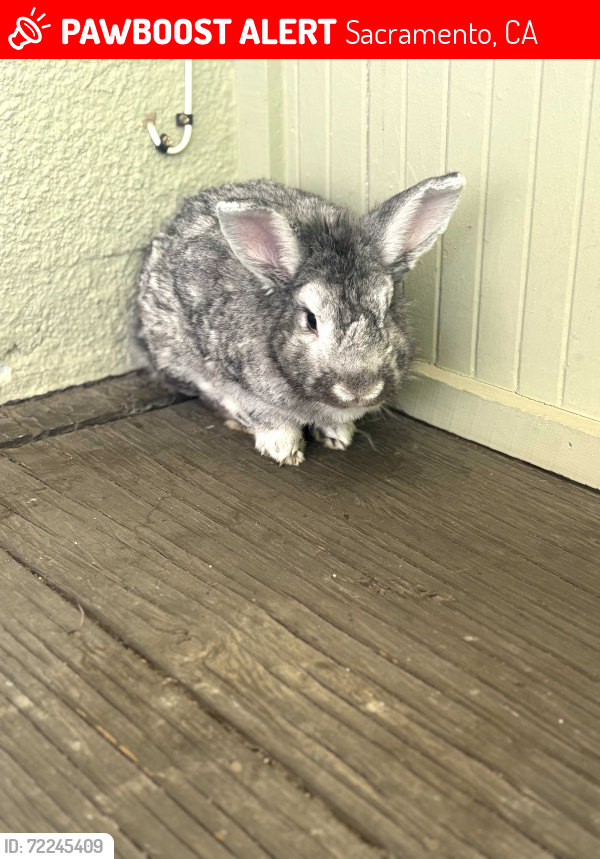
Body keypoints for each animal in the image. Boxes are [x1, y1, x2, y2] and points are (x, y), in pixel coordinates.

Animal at [138, 173, 464, 466]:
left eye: (387, 310)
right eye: (311, 320)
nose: (361, 389)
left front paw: (339, 436)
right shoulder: (236, 380)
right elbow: (266, 416)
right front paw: (284, 451)